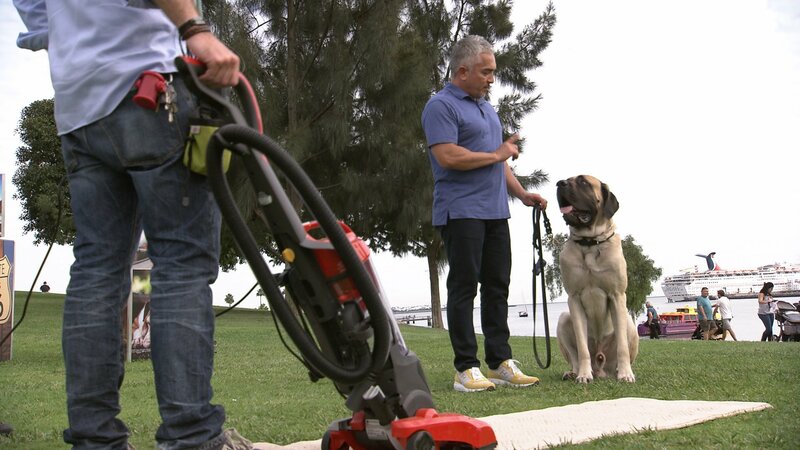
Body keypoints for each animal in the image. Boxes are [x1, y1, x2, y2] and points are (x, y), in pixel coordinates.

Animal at [556, 175, 636, 384]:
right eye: (567, 179)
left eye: (583, 182)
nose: (559, 183)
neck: (590, 243)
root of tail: (601, 366)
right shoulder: (574, 298)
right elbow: (582, 348)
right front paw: (584, 375)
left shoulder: (617, 295)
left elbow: (622, 347)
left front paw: (626, 374)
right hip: (563, 319)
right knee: (575, 356)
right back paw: (574, 372)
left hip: (629, 322)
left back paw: (619, 370)